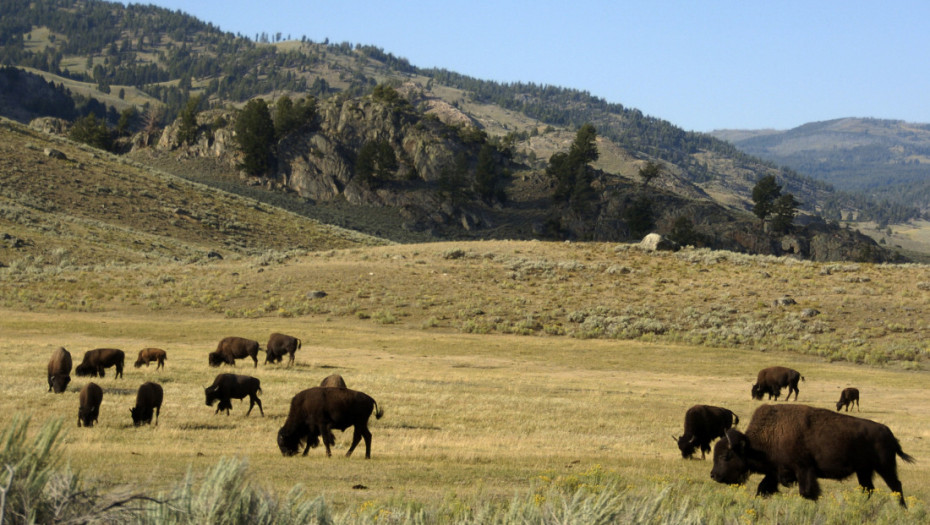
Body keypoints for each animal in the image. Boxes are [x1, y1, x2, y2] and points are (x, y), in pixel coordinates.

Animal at [712, 404, 912, 506]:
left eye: (726, 456)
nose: (713, 475)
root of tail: (888, 432)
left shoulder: (804, 469)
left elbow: (808, 492)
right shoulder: (776, 472)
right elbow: (763, 488)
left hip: (885, 467)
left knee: (896, 486)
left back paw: (901, 509)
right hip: (864, 471)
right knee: (868, 488)